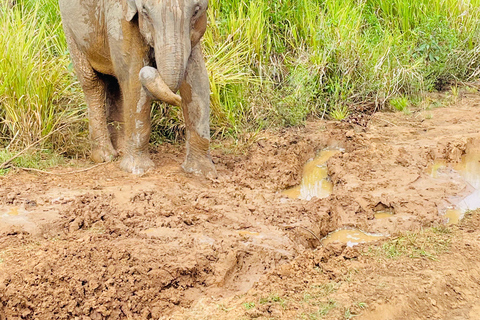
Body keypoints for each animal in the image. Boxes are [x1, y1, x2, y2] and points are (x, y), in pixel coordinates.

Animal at [59, 0, 216, 178]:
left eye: (196, 11)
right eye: (145, 12)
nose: (177, 100)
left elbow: (197, 78)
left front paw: (202, 172)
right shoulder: (119, 16)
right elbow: (133, 76)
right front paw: (138, 170)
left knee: (115, 83)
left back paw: (121, 150)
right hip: (70, 31)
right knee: (92, 83)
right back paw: (105, 157)